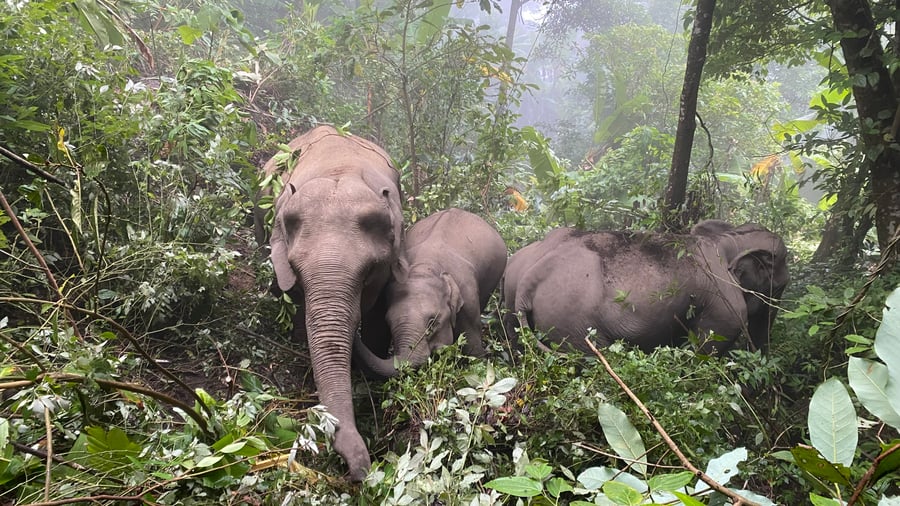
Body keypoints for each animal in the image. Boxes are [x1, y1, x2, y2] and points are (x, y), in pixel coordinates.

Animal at [503, 221, 789, 355]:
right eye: (780, 285)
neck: (727, 239)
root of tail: (530, 278)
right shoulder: (725, 305)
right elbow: (706, 350)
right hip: (573, 322)